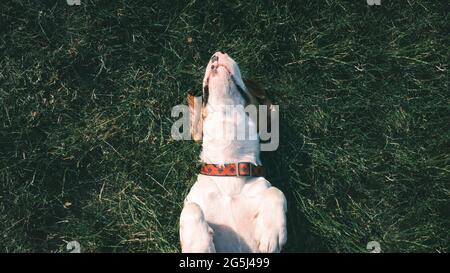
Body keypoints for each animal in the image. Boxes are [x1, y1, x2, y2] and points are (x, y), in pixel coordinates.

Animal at [178, 51, 286, 253]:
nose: (218, 53)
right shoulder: (193, 201)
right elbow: (191, 208)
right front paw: (200, 246)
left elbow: (276, 191)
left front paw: (270, 232)